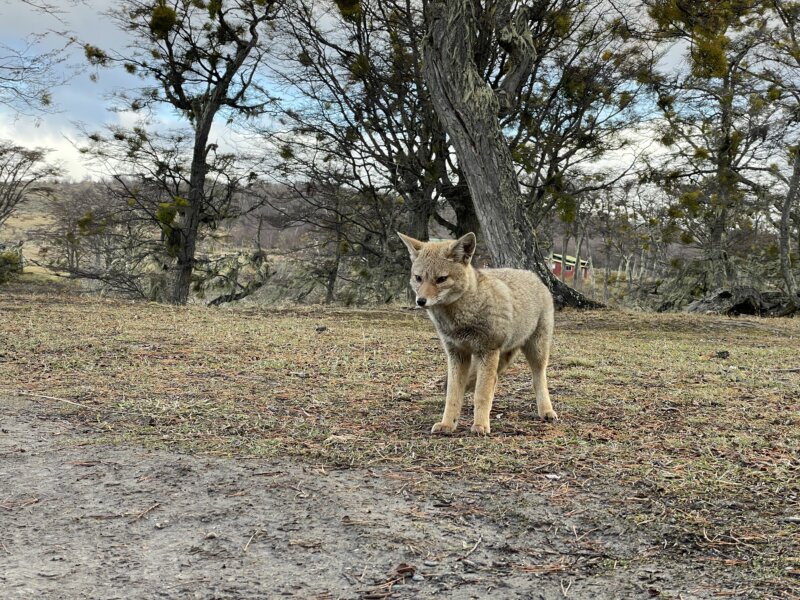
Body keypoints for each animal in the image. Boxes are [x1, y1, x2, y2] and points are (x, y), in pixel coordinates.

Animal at [398, 231, 556, 436]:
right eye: (418, 278)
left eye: (441, 279)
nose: (420, 301)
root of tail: (533, 275)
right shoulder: (457, 355)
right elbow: (453, 395)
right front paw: (448, 424)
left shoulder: (487, 352)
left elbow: (481, 394)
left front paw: (480, 425)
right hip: (501, 357)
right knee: (493, 380)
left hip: (535, 352)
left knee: (538, 379)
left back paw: (546, 411)